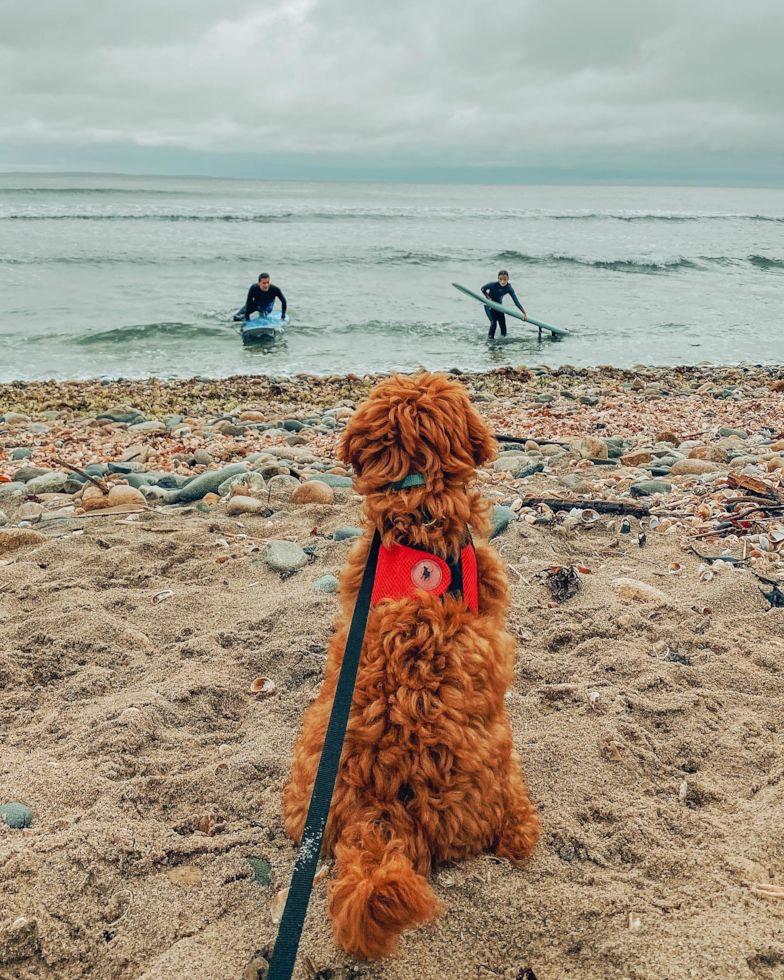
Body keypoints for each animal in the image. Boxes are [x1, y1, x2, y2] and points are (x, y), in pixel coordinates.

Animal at [282, 372, 540, 960]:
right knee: (513, 822)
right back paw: (524, 829)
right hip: (499, 763)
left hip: (308, 778)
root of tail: (381, 814)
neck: (416, 507)